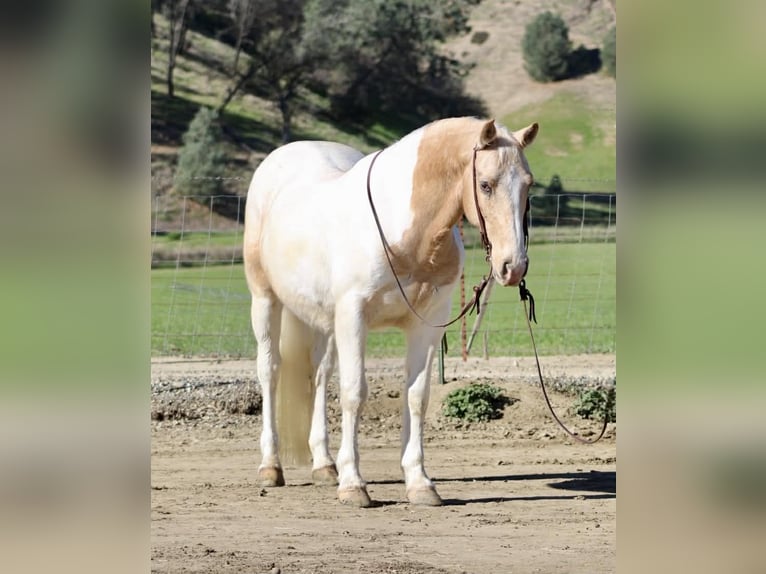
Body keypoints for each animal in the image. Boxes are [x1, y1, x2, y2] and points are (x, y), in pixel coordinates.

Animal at [243, 117, 538, 507]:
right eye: (486, 184)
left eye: (528, 185)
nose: (513, 266)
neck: (407, 236)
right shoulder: (353, 316)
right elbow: (354, 393)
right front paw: (354, 485)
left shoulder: (427, 324)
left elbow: (417, 396)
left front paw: (419, 483)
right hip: (265, 301)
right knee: (270, 372)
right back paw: (270, 467)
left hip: (323, 320)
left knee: (318, 375)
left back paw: (324, 465)